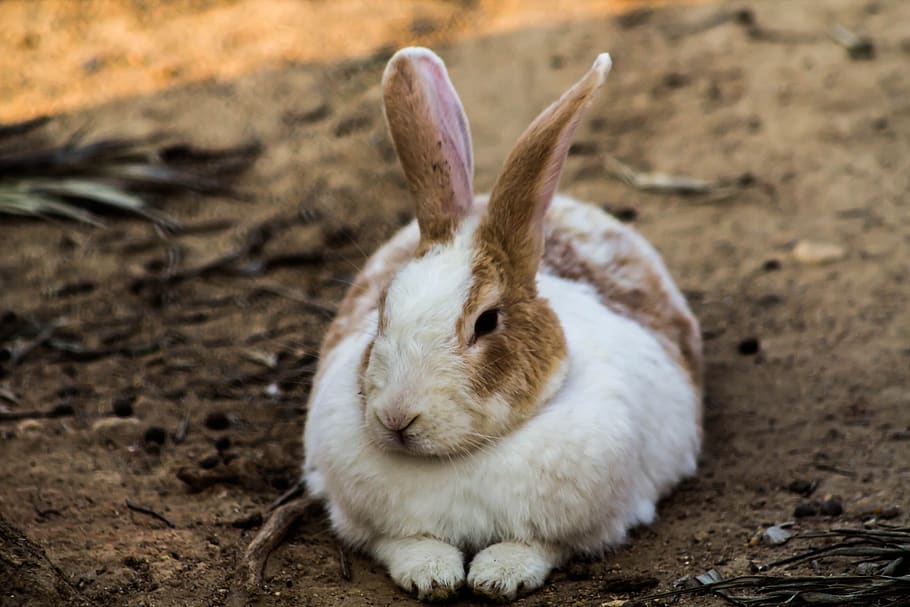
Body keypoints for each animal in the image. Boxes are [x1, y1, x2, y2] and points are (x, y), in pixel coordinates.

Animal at [303, 47, 703, 602]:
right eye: (382, 310)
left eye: (487, 321)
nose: (397, 418)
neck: (464, 457)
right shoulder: (373, 525)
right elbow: (406, 543)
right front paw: (432, 575)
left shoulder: (585, 525)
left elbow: (535, 546)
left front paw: (498, 577)